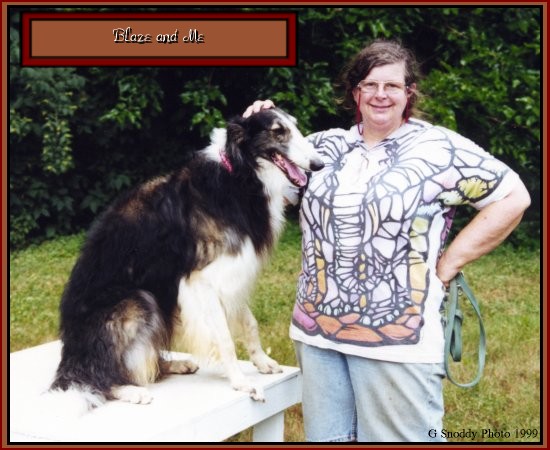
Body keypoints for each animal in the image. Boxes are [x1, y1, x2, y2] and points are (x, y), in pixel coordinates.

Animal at [49, 107, 326, 410]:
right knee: (98, 375)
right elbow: (225, 339)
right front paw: (242, 383)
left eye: (295, 127)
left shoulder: (230, 274)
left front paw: (262, 362)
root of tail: (69, 359)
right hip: (137, 302)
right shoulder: (201, 280)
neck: (238, 175)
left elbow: (249, 323)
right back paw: (129, 390)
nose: (318, 164)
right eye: (278, 131)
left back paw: (176, 364)